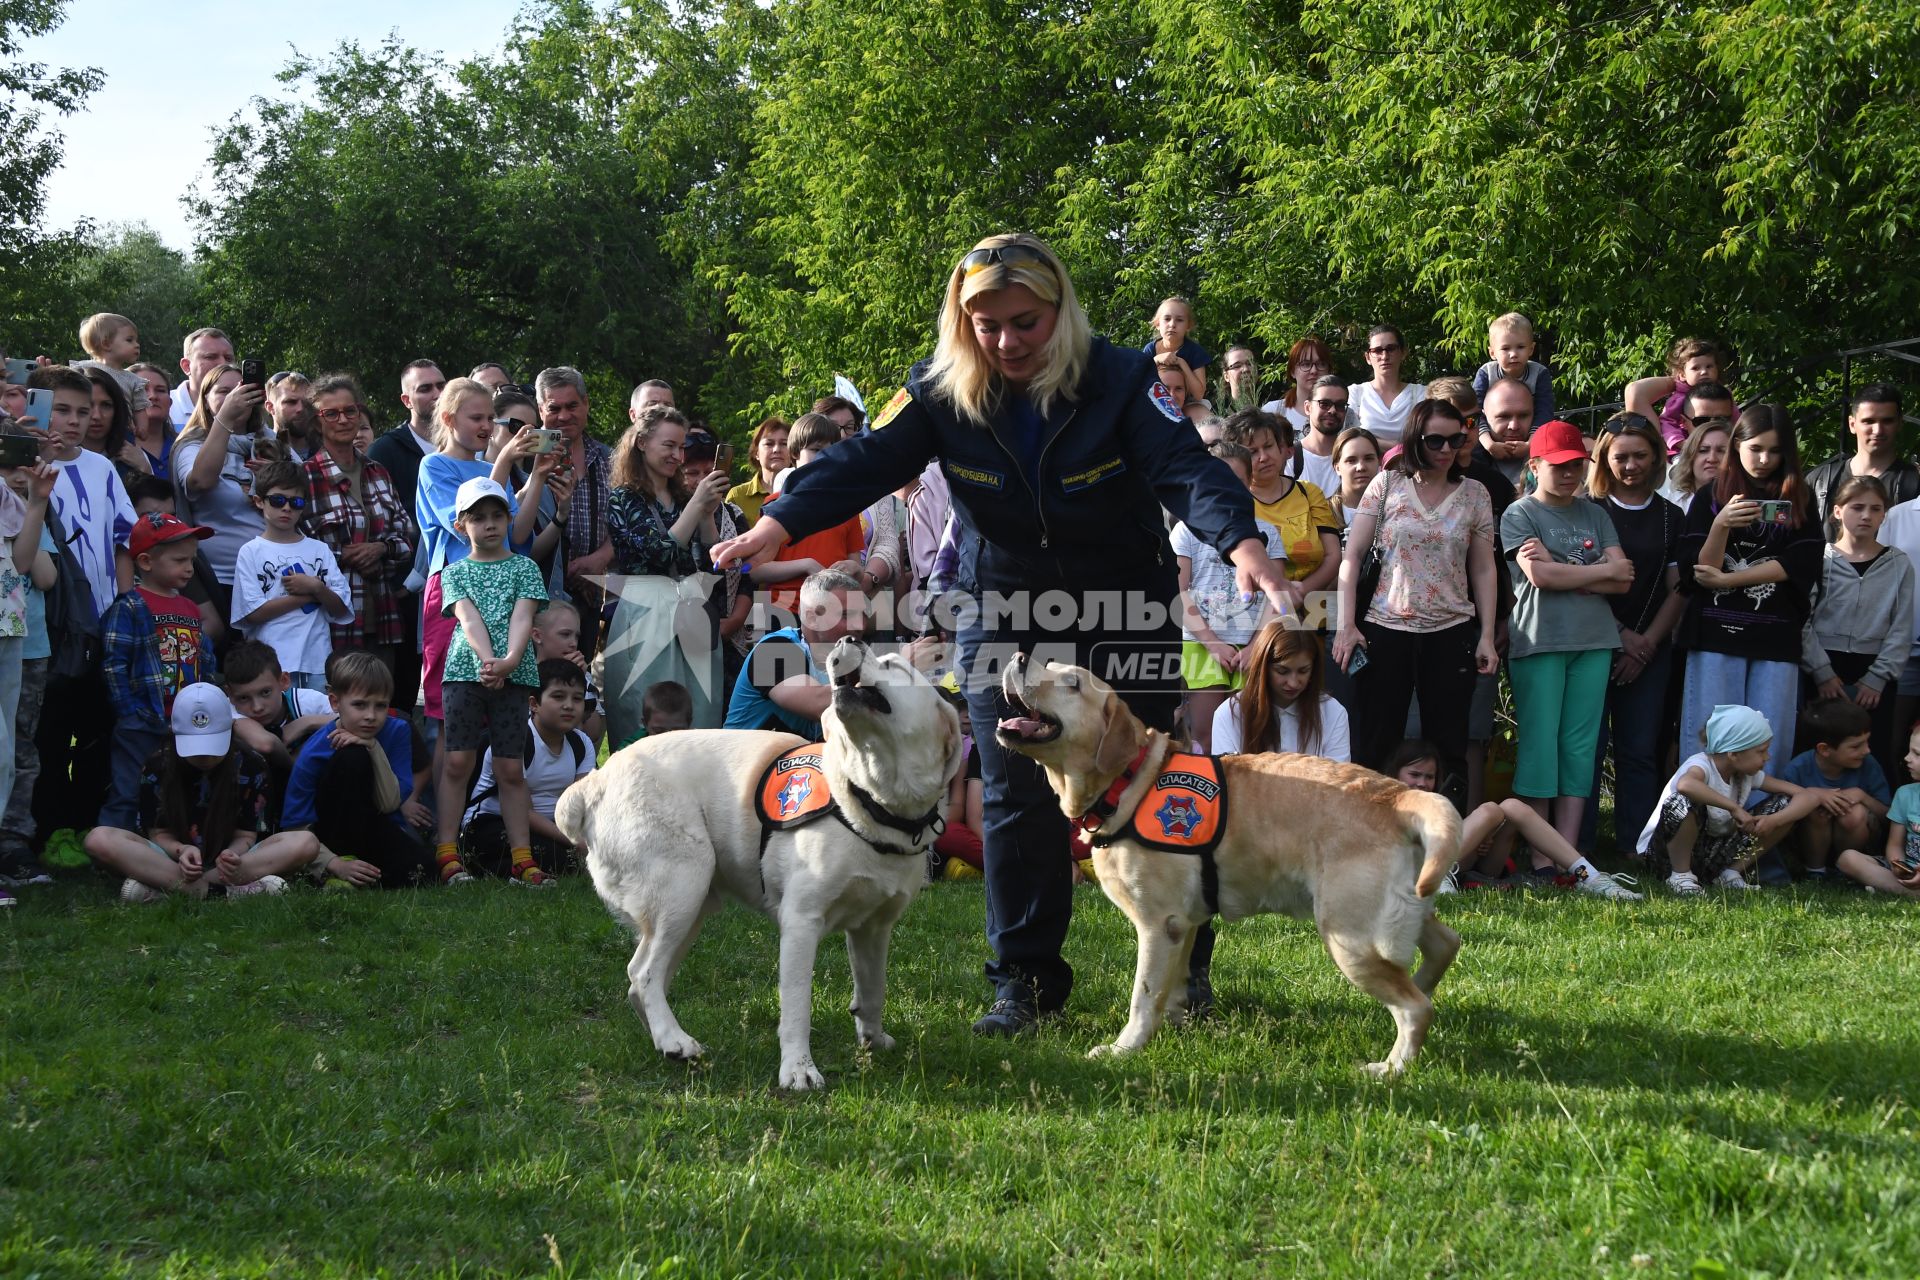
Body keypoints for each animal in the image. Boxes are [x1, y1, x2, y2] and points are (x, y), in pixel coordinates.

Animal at [560, 640, 967, 1090]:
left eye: (894, 665)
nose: (849, 640)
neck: (871, 802)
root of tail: (595, 779)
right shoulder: (801, 921)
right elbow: (798, 1005)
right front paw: (799, 1070)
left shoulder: (874, 927)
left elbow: (873, 990)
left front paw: (873, 1041)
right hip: (683, 885)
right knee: (643, 972)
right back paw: (674, 1039)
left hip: (690, 908)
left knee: (642, 980)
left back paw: (664, 1039)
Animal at [998, 656, 1459, 1074]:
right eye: (1049, 664)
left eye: (1072, 683)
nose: (1018, 657)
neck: (1129, 782)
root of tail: (1399, 795)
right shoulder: (1185, 924)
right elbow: (1173, 988)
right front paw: (1177, 1028)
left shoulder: (1159, 924)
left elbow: (1143, 996)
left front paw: (1124, 1049)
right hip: (1399, 913)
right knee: (1445, 945)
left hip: (1350, 937)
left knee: (1416, 1008)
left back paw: (1391, 1068)